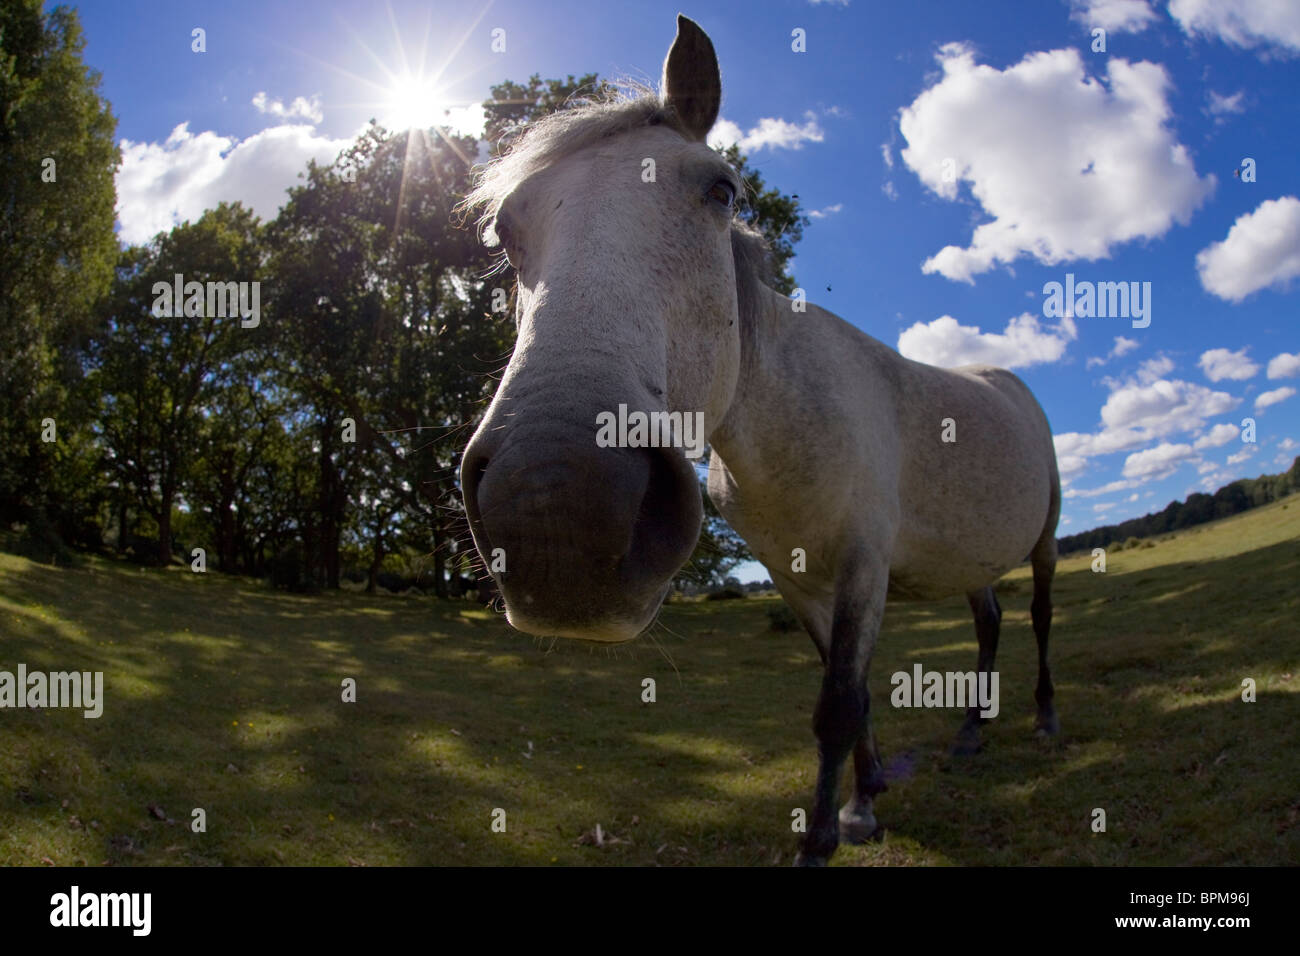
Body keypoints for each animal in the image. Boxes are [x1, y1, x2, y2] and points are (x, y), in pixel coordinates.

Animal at [462, 14, 1060, 868]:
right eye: (504, 231)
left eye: (722, 190)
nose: (555, 509)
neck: (787, 425)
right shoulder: (796, 578)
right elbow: (850, 692)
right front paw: (865, 799)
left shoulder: (865, 566)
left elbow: (838, 703)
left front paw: (826, 835)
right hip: (970, 555)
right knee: (990, 622)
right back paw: (972, 734)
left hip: (1045, 537)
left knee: (1038, 614)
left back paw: (1045, 718)